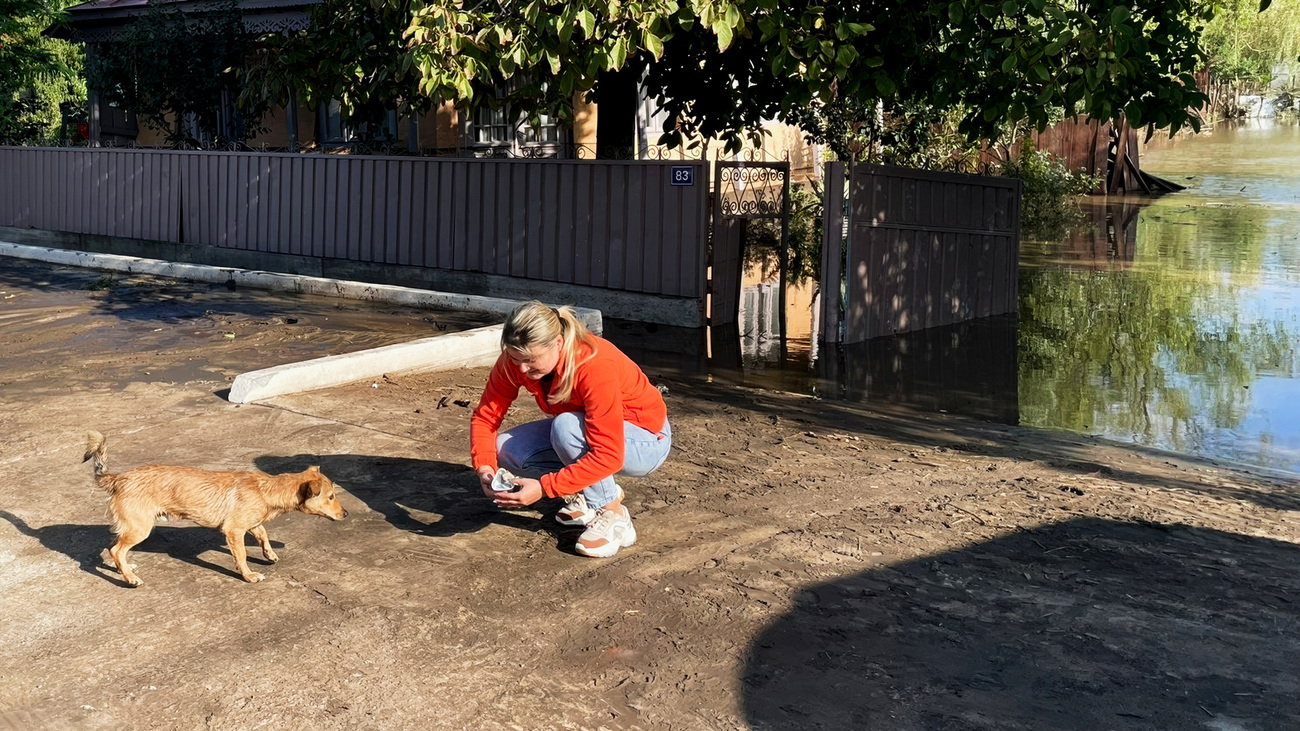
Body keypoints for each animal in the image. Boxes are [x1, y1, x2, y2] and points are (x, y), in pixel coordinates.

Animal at [85, 429, 351, 582]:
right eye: (331, 496)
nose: (346, 513)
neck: (267, 489)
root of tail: (118, 478)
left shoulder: (250, 524)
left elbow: (263, 534)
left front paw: (270, 554)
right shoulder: (234, 531)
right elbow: (241, 555)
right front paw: (248, 575)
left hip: (130, 527)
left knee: (113, 547)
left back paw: (125, 569)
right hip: (140, 528)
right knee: (116, 550)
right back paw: (130, 578)